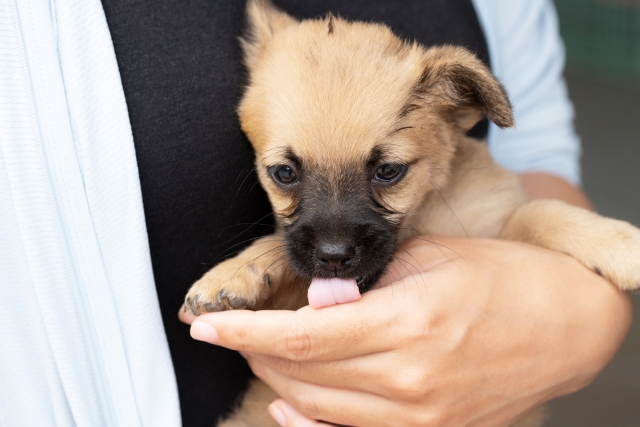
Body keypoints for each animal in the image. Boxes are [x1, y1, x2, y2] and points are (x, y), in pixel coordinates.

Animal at [182, 1, 640, 426]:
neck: (423, 216)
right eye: (284, 173)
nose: (334, 257)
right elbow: (279, 241)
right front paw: (235, 272)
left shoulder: (498, 223)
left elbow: (542, 212)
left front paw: (618, 243)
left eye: (388, 171)